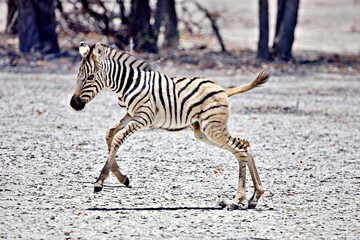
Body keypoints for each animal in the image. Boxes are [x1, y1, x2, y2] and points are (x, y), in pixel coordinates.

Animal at [69, 41, 270, 210]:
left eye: (90, 77)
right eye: (77, 76)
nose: (74, 104)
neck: (128, 84)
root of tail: (223, 90)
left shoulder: (144, 116)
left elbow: (118, 137)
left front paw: (100, 181)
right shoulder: (130, 114)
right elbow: (110, 133)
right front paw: (122, 178)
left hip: (213, 129)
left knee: (240, 149)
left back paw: (237, 200)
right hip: (204, 132)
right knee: (244, 145)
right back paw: (254, 198)